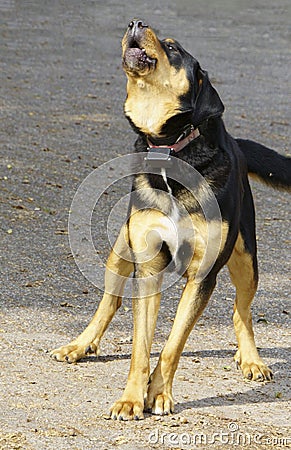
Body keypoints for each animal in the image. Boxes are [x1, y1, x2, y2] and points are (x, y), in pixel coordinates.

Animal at [51, 19, 290, 420]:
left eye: (173, 48)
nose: (135, 21)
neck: (170, 151)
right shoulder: (147, 266)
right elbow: (141, 347)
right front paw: (132, 398)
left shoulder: (202, 274)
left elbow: (173, 345)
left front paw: (158, 394)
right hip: (121, 250)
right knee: (109, 302)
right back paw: (80, 345)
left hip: (246, 259)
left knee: (241, 310)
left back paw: (251, 359)